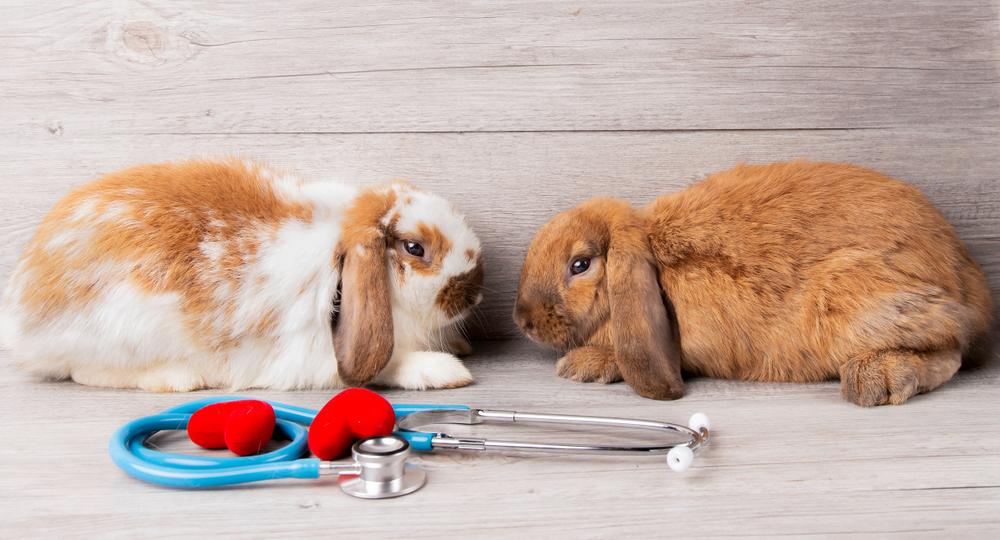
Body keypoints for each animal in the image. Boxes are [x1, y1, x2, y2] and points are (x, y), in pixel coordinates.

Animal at [0, 158, 484, 390]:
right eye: (415, 248)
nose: (476, 291)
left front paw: (459, 345)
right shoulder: (316, 359)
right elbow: (386, 366)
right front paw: (446, 370)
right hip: (124, 331)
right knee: (84, 372)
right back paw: (177, 379)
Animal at [516, 160, 992, 404]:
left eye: (580, 265)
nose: (522, 320)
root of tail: (971, 284)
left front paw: (583, 364)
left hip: (854, 297)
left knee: (952, 349)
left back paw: (877, 379)